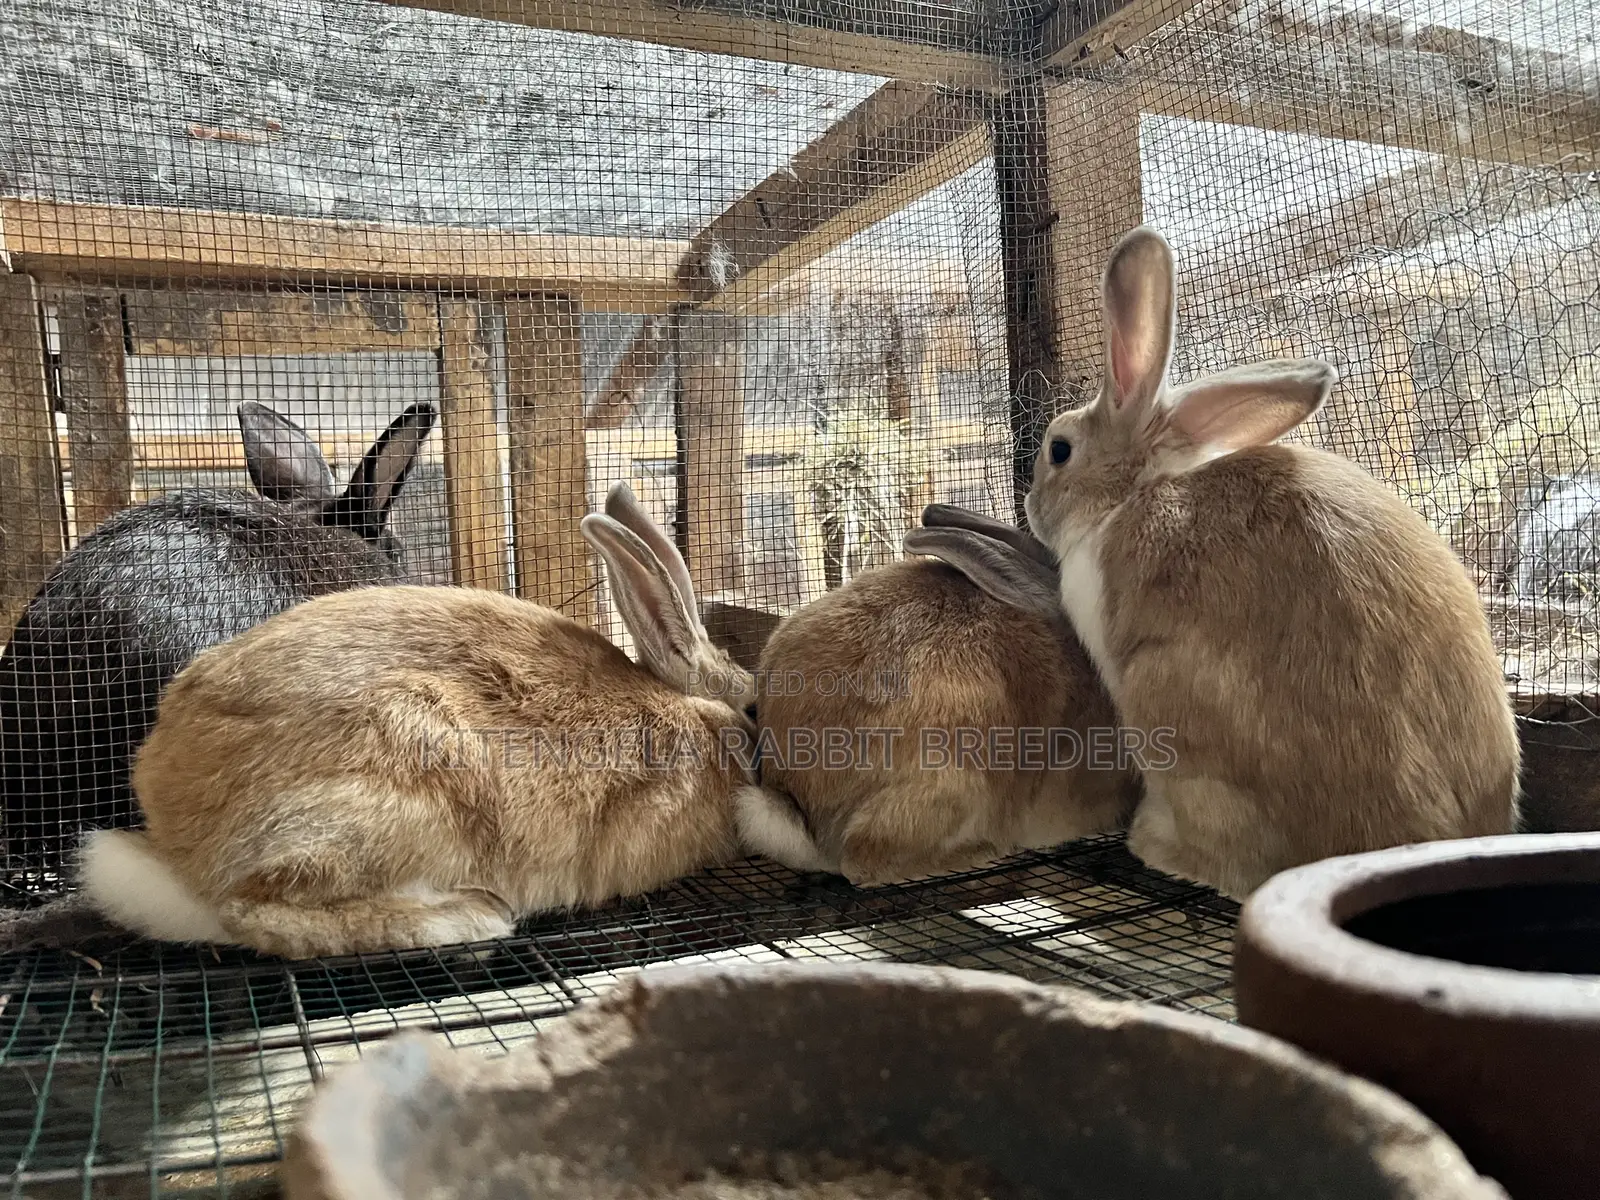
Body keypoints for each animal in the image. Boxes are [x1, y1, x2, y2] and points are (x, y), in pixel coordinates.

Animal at [76, 483, 779, 959]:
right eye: (754, 708)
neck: (699, 716)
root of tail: (175, 844)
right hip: (394, 783)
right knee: (252, 911)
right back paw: (469, 917)